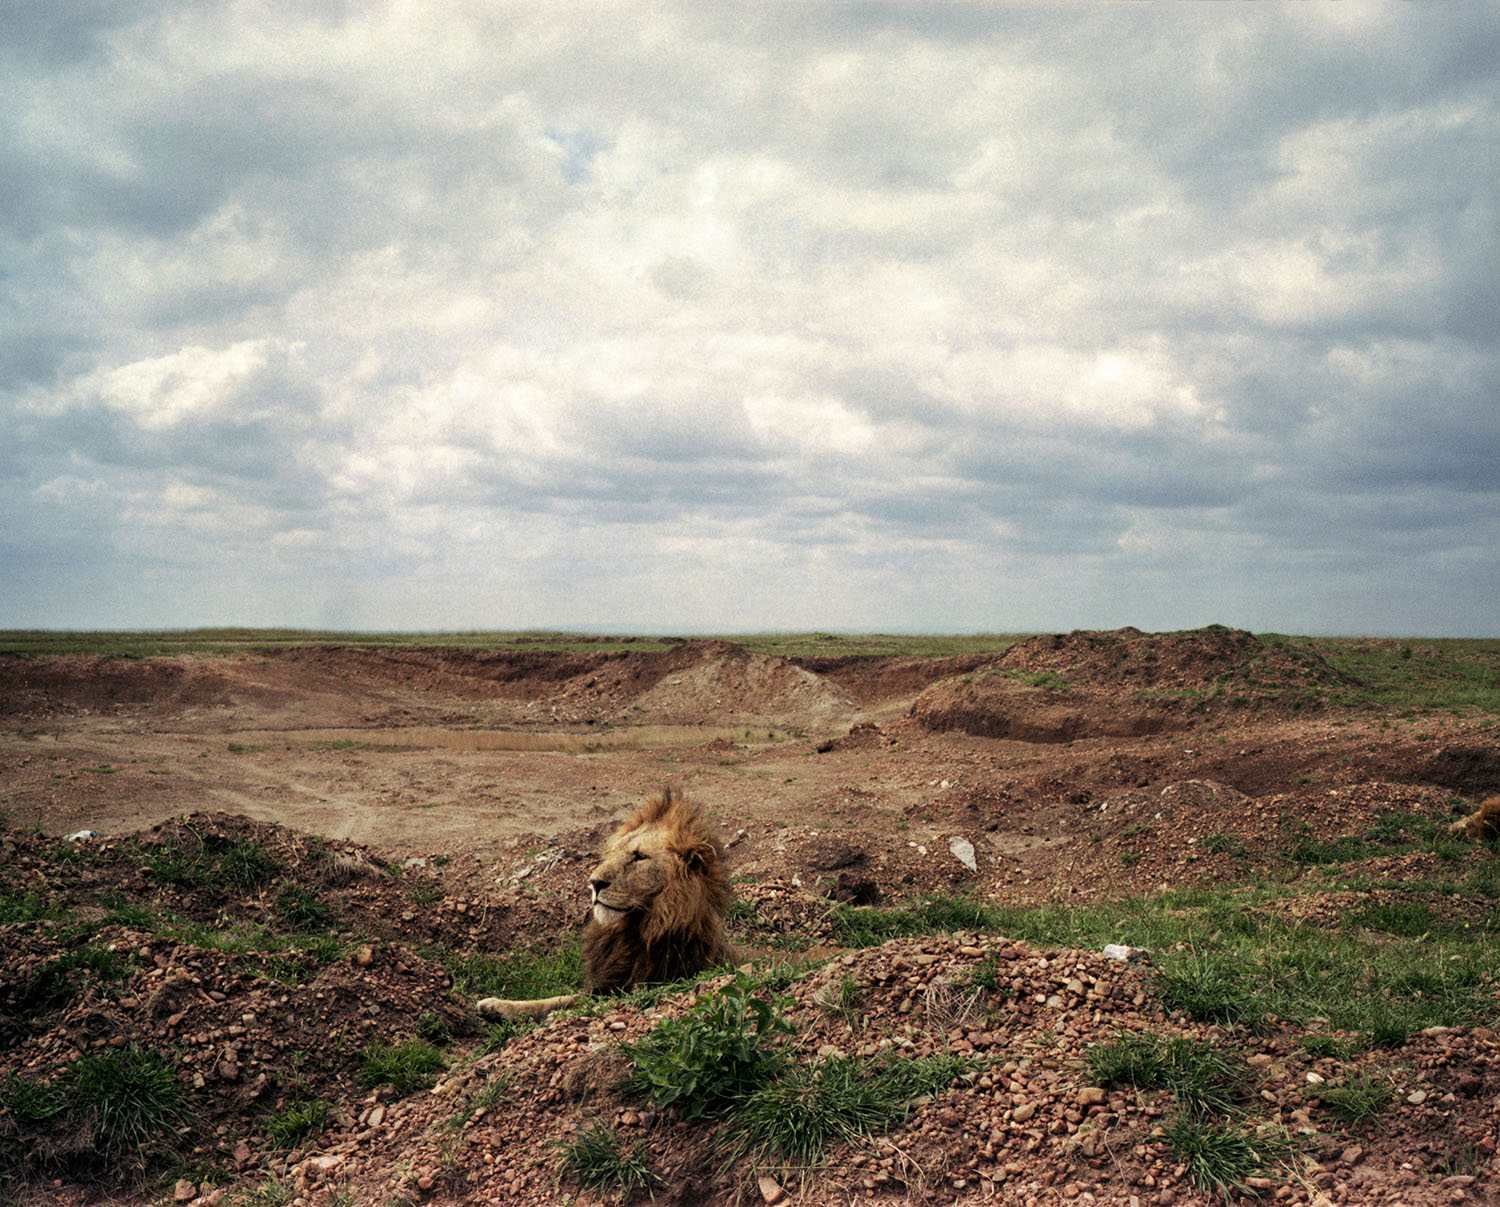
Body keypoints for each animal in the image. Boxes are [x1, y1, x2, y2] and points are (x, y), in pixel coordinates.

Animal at [477, 789, 735, 1021]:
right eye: (614, 852)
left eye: (639, 857)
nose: (594, 882)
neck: (637, 933)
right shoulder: (604, 986)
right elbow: (554, 999)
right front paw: (496, 1005)